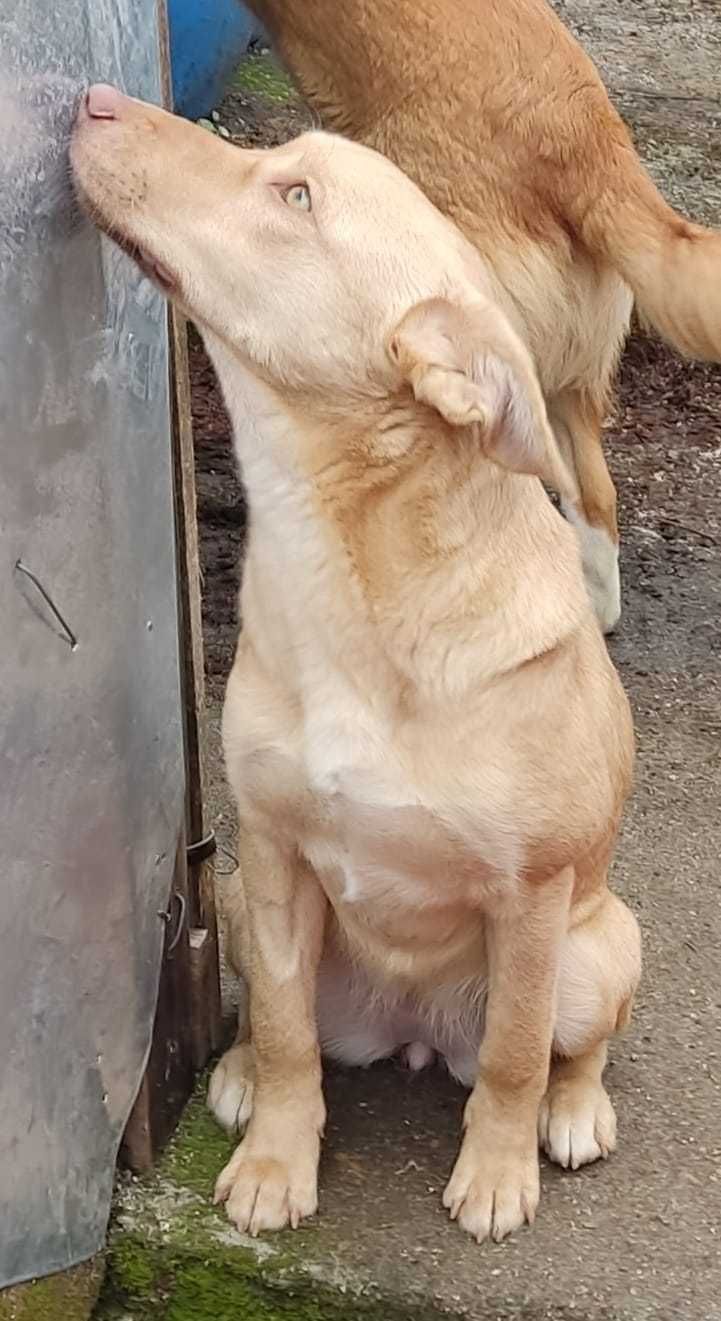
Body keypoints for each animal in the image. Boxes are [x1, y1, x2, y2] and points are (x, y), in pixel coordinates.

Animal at [71, 85, 639, 1247]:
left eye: (294, 196)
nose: (96, 97)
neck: (357, 582)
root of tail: (417, 1031)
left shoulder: (531, 898)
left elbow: (513, 1055)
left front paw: (497, 1171)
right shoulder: (274, 853)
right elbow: (291, 1034)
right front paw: (275, 1161)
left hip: (602, 946)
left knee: (565, 1041)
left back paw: (573, 1111)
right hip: (241, 902)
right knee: (276, 1017)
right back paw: (240, 1074)